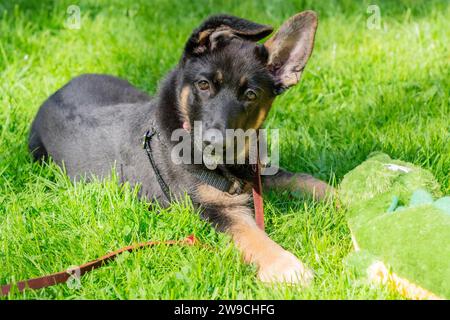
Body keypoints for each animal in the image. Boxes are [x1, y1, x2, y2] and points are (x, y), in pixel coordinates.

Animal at [29, 10, 334, 284]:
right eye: (203, 84)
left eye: (251, 94)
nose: (214, 142)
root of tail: (58, 91)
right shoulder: (214, 208)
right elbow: (250, 235)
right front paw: (285, 266)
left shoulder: (261, 172)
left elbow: (306, 181)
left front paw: (343, 197)